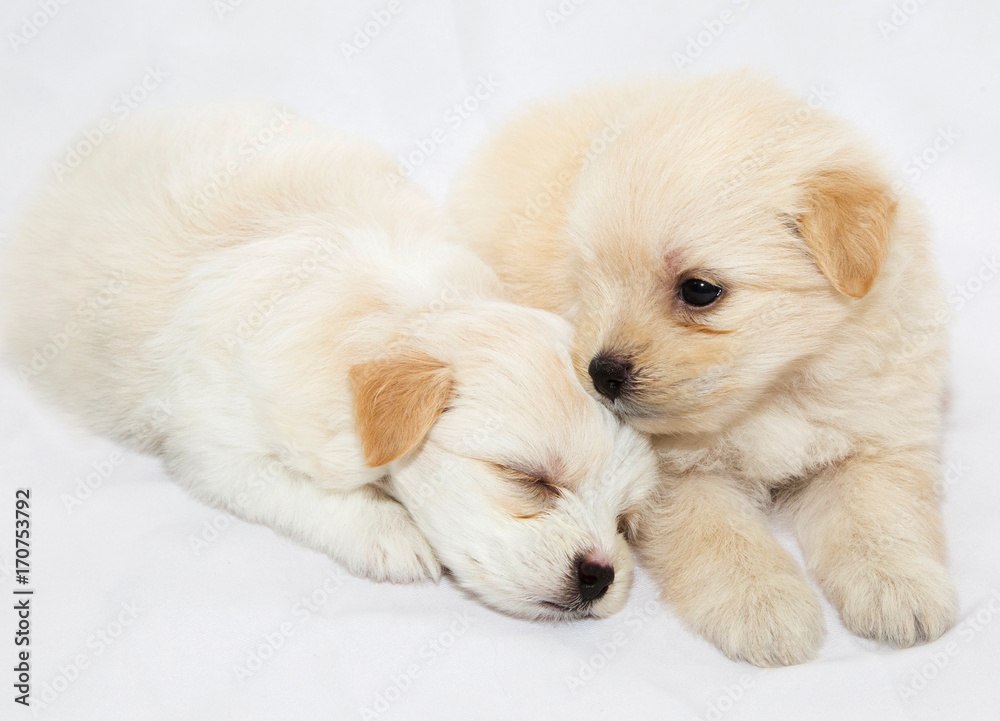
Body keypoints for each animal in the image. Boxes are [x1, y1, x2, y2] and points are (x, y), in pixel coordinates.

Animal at [3, 101, 660, 620]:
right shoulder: (216, 442)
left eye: (626, 522)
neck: (405, 310)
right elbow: (299, 490)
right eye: (528, 479)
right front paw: (391, 532)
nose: (600, 576)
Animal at [452, 73, 952, 664]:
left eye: (699, 290)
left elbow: (881, 519)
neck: (774, 393)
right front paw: (765, 606)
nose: (601, 374)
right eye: (591, 281)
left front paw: (900, 586)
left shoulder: (873, 441)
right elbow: (724, 540)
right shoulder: (682, 481)